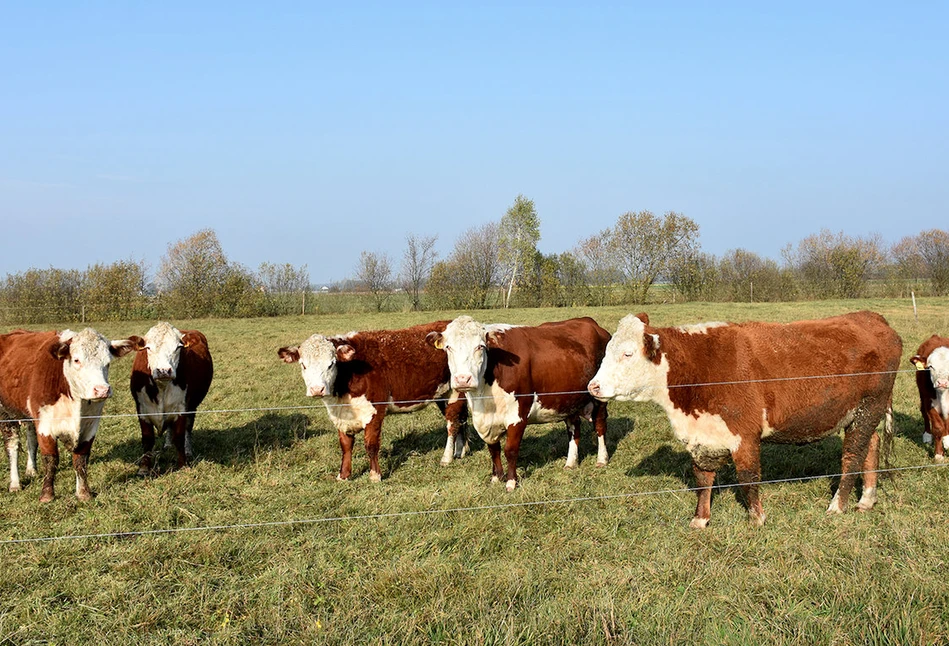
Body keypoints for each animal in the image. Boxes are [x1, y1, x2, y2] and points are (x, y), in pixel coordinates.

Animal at [0, 332, 140, 504]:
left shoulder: (90, 427)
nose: (102, 390)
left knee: (31, 440)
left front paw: (83, 493)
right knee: (12, 447)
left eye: (107, 362)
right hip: (6, 414)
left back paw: (31, 470)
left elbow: (81, 460)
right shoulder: (45, 425)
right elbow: (50, 460)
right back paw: (15, 483)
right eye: (76, 360)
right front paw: (47, 495)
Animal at [128, 322, 211, 476]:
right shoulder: (142, 409)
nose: (163, 371)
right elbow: (147, 438)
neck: (162, 387)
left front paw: (183, 464)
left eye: (178, 347)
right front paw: (144, 468)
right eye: (148, 348)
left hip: (192, 406)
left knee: (188, 428)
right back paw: (167, 444)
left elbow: (179, 436)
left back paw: (188, 450)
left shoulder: (182, 408)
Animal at [276, 322, 468, 480]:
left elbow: (371, 444)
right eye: (303, 365)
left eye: (331, 364)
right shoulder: (341, 415)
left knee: (452, 423)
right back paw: (461, 450)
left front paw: (375, 475)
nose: (317, 389)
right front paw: (343, 475)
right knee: (461, 420)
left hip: (455, 392)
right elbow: (345, 445)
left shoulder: (375, 411)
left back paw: (447, 458)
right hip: (443, 394)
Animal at [426, 316, 612, 494]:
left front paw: (511, 482)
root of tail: (593, 324)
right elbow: (493, 448)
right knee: (574, 428)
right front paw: (496, 478)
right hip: (569, 400)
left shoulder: (517, 416)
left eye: (480, 347)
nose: (463, 379)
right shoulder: (485, 420)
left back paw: (602, 459)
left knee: (600, 426)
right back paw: (571, 462)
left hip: (599, 397)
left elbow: (510, 450)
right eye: (448, 347)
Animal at [588, 312, 900, 528]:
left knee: (852, 456)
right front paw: (700, 519)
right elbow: (703, 478)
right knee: (870, 446)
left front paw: (756, 519)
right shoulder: (702, 436)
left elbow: (748, 477)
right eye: (606, 351)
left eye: (628, 353)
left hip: (869, 407)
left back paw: (837, 506)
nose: (593, 386)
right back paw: (866, 499)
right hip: (860, 414)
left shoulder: (744, 434)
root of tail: (870, 317)